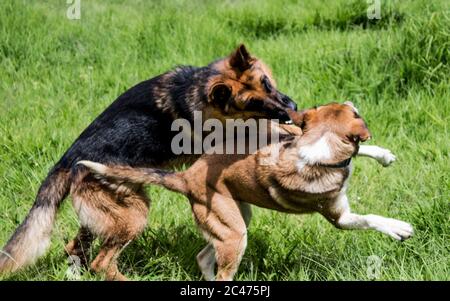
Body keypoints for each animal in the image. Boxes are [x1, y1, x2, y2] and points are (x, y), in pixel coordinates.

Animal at [0, 44, 298, 278]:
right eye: (253, 103)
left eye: (266, 83)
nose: (291, 108)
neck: (196, 89)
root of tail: (67, 160)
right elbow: (271, 129)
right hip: (134, 216)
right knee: (102, 262)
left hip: (107, 216)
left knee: (75, 248)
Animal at [78, 102, 412, 280]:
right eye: (351, 112)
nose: (353, 102)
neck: (318, 145)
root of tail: (186, 177)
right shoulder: (339, 217)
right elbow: (369, 218)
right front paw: (399, 229)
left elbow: (360, 152)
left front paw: (383, 155)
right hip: (234, 234)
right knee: (221, 270)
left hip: (233, 221)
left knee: (204, 258)